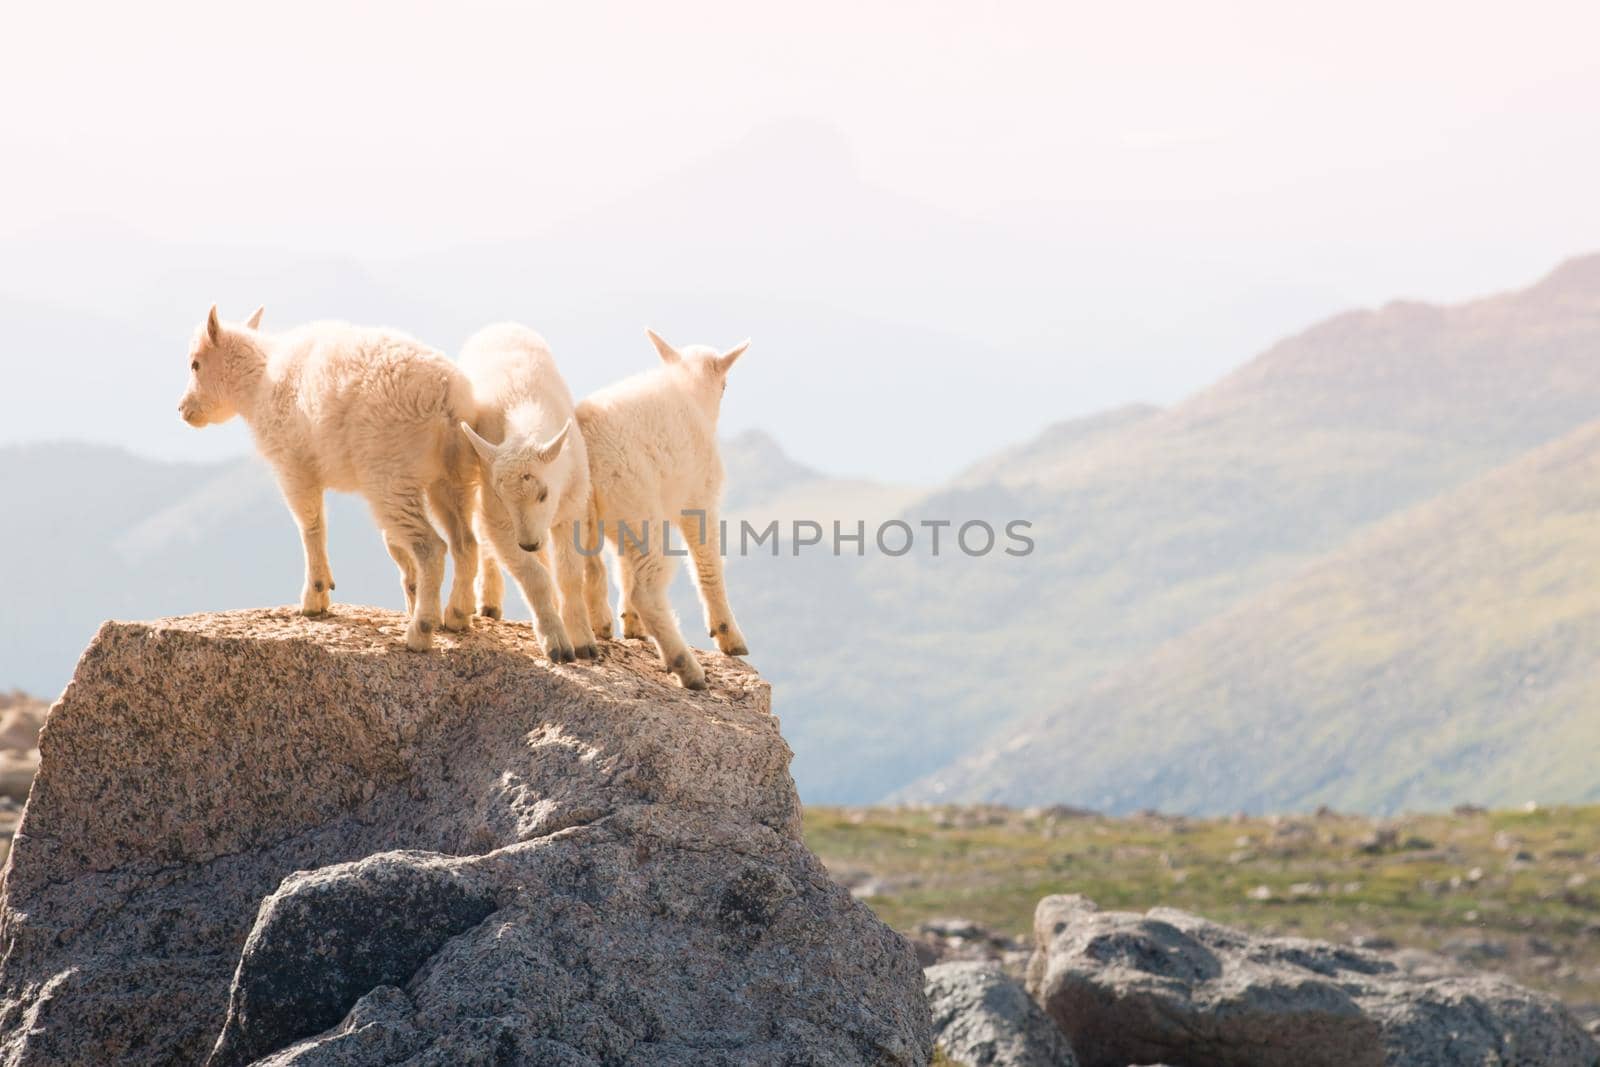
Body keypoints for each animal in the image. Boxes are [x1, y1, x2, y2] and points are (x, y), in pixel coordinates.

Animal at [176, 303, 476, 646]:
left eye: (195, 364)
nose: (183, 410)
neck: (257, 384)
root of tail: (446, 400)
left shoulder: (293, 465)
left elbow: (310, 525)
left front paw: (314, 598)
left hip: (391, 474)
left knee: (431, 547)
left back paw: (420, 630)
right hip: (454, 476)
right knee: (466, 542)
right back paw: (456, 616)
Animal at [454, 321, 598, 662]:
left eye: (543, 494)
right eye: (503, 498)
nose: (528, 543)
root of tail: (498, 325)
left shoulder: (572, 507)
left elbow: (570, 575)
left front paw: (584, 642)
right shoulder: (498, 516)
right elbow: (534, 577)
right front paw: (557, 644)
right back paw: (489, 602)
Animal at [576, 329, 748, 687]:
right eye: (725, 385)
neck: (689, 390)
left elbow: (622, 568)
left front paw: (631, 626)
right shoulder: (699, 498)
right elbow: (708, 563)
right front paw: (728, 635)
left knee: (587, 571)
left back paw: (599, 627)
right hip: (637, 503)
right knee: (648, 590)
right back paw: (687, 667)